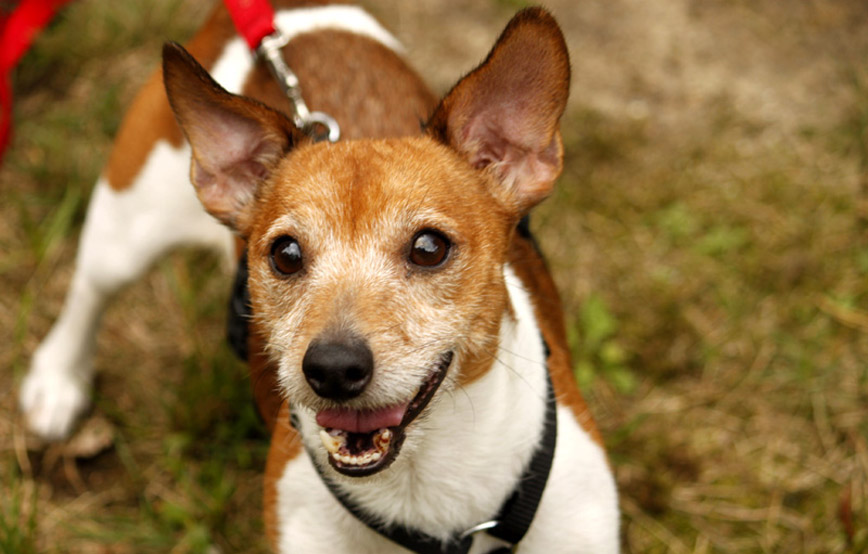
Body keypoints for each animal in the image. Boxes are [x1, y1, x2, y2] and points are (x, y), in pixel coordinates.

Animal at [20, 2, 616, 548]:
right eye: (285, 254)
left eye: (429, 248)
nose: (332, 368)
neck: (425, 496)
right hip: (126, 226)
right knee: (89, 292)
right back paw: (58, 380)